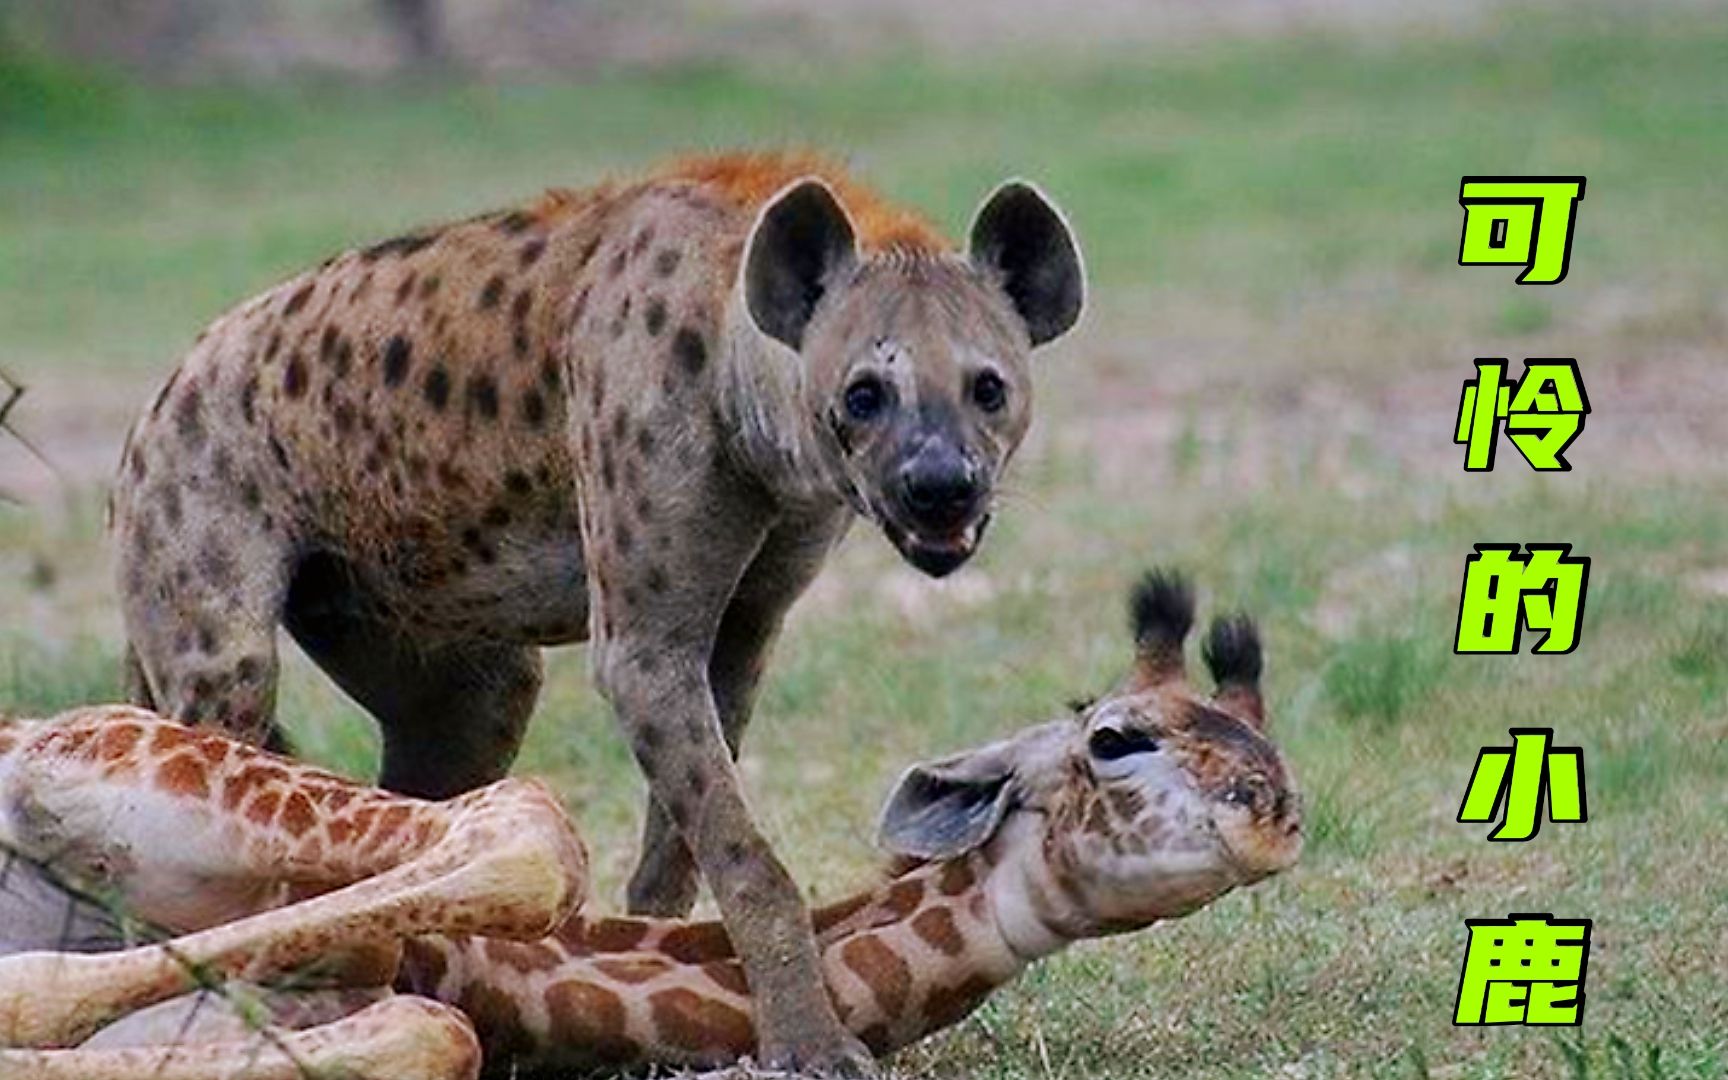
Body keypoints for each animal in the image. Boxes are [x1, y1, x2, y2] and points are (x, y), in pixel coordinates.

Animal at [0, 570, 1299, 1071]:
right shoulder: (84, 752)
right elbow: (529, 832)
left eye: (1260, 731)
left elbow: (430, 1029)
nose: (1278, 814)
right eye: (1115, 738)